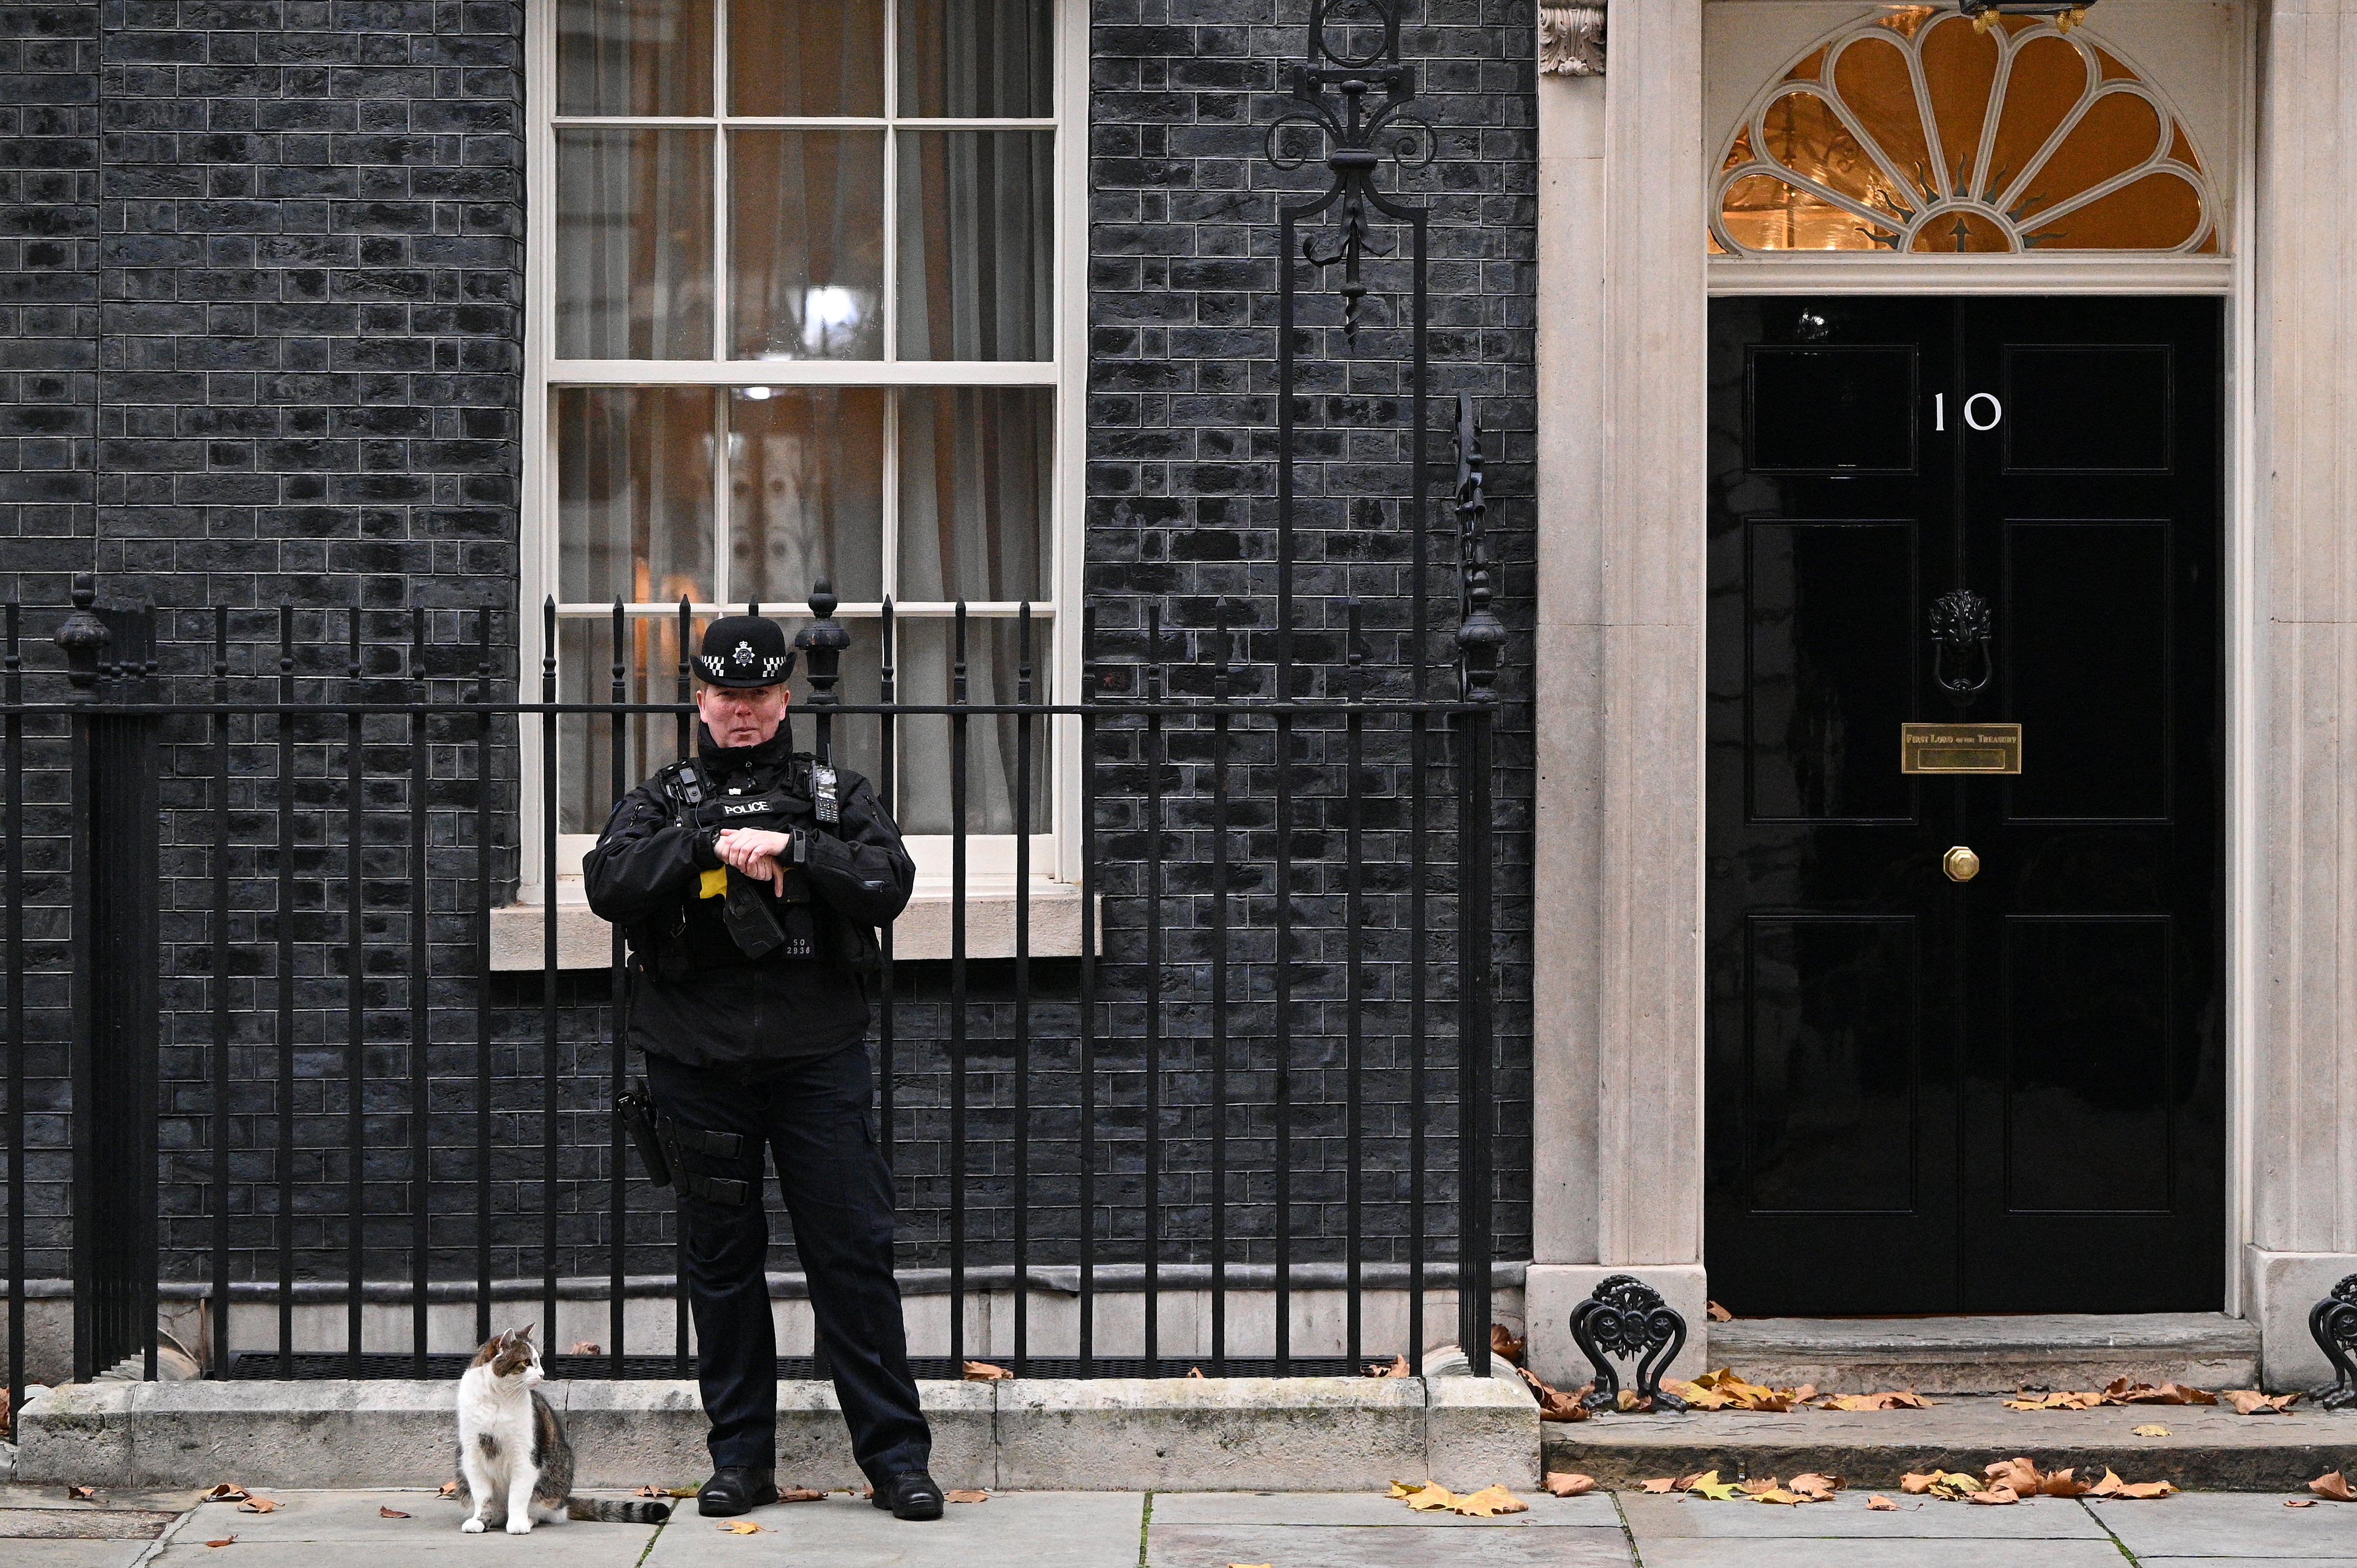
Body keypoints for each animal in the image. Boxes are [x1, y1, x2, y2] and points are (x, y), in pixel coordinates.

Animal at [452, 1320, 669, 1528]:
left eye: (539, 1360)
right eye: (527, 1362)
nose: (542, 1374)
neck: (497, 1398)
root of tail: (565, 1501)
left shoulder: (525, 1455)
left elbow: (518, 1495)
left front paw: (518, 1524)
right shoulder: (473, 1455)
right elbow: (483, 1497)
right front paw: (481, 1521)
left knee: (543, 1511)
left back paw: (528, 1519)